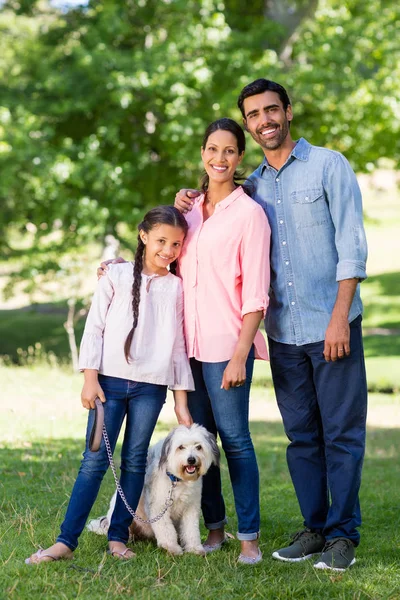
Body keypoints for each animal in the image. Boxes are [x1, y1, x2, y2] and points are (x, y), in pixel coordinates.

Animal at [87, 424, 219, 556]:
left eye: (199, 447)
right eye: (181, 447)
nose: (191, 460)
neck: (177, 480)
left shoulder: (191, 508)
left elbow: (191, 530)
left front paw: (194, 549)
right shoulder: (159, 507)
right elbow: (166, 530)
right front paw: (172, 548)